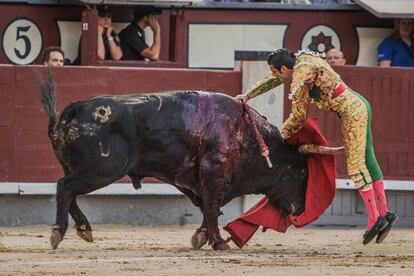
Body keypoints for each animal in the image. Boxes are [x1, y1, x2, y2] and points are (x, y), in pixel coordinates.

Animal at [37, 72, 338, 249]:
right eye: (301, 172)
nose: (301, 209)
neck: (249, 136)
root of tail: (77, 108)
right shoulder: (214, 172)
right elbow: (212, 207)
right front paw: (218, 242)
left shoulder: (210, 180)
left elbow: (210, 207)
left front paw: (203, 236)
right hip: (102, 169)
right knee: (65, 187)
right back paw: (59, 233)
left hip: (82, 168)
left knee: (68, 191)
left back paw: (84, 229)